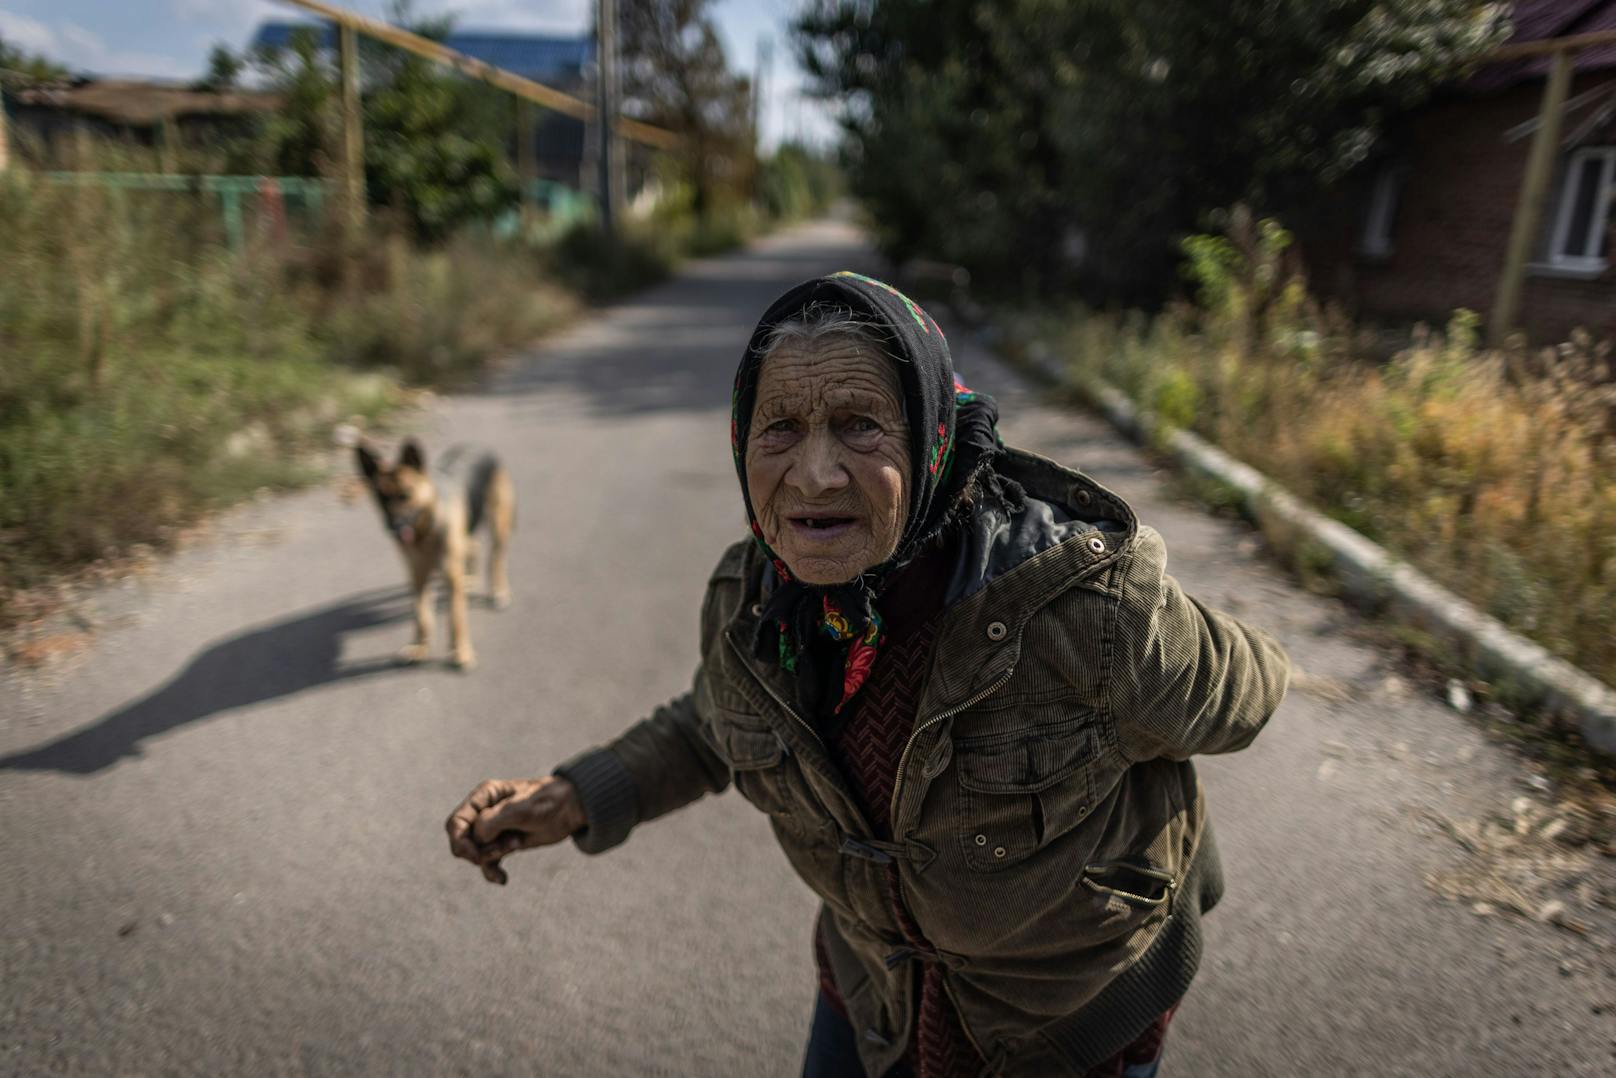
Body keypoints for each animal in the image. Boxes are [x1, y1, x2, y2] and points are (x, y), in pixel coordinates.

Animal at [357, 439, 513, 665]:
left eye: (406, 494)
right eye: (381, 497)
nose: (394, 528)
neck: (426, 529)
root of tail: (478, 445)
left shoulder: (450, 577)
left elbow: (456, 617)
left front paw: (461, 652)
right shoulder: (418, 577)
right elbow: (421, 615)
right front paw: (420, 647)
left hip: (498, 526)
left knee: (495, 559)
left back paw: (499, 591)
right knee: (475, 546)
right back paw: (471, 578)